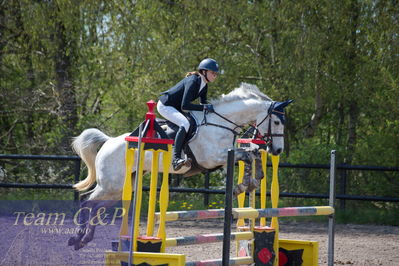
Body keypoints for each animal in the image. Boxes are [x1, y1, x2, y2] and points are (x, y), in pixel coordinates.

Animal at [68, 83, 294, 249]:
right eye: (276, 122)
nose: (278, 150)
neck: (222, 122)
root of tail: (108, 142)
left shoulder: (225, 156)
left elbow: (252, 155)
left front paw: (249, 182)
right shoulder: (212, 157)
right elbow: (247, 155)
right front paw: (245, 184)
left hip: (120, 188)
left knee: (95, 205)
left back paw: (84, 239)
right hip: (111, 184)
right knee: (87, 201)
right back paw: (77, 237)